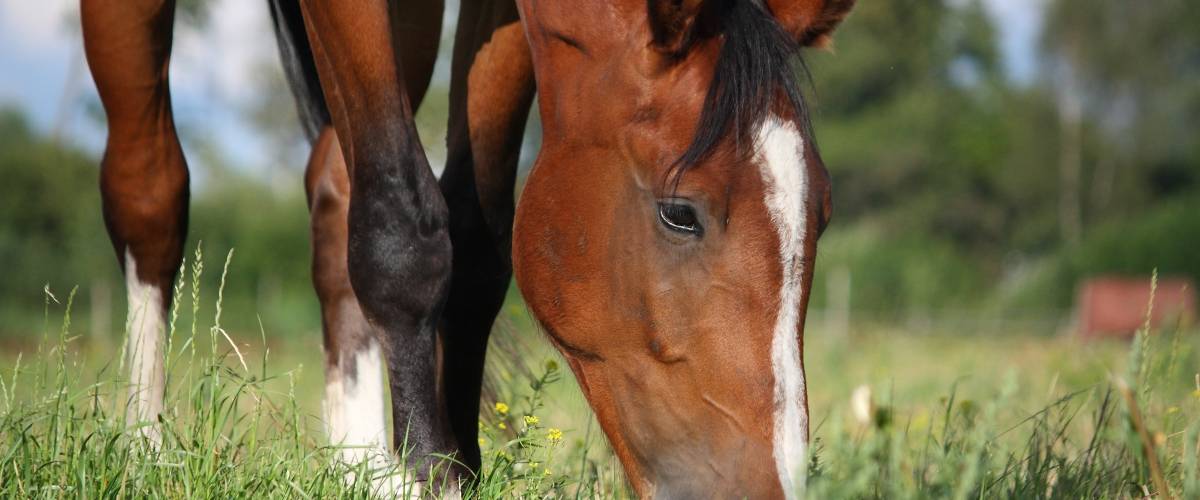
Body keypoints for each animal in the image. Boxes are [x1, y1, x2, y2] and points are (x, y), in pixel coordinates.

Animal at [82, 0, 854, 494]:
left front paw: (453, 468)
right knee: (150, 189)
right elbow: (401, 231)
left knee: (335, 188)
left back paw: (358, 461)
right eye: (679, 213)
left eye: (821, 214)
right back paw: (145, 448)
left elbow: (477, 240)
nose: (769, 487)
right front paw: (428, 477)